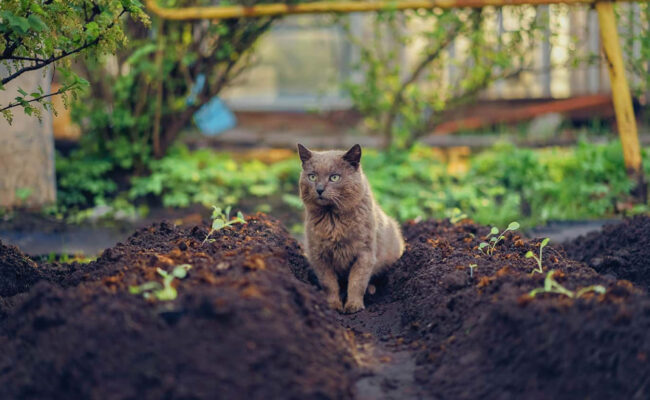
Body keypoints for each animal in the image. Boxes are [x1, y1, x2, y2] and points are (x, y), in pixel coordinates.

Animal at [296, 142, 402, 314]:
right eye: (312, 176)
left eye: (334, 177)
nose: (319, 189)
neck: (333, 220)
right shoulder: (319, 255)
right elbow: (329, 283)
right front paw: (333, 305)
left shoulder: (365, 253)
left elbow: (357, 282)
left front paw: (354, 305)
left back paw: (371, 290)